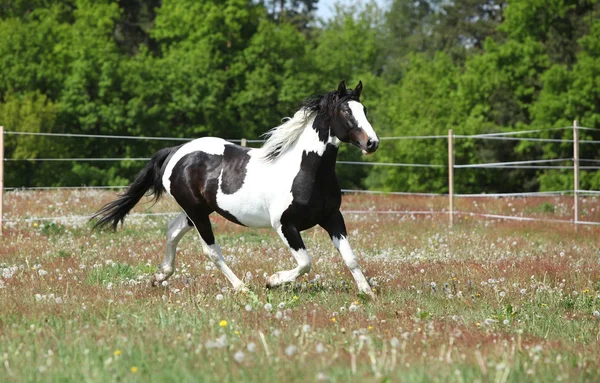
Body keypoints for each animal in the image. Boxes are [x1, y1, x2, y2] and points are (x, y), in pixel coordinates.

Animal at [89, 79, 380, 298]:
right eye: (346, 112)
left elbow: (350, 258)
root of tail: (176, 151)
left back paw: (160, 276)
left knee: (172, 231)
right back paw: (241, 287)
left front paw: (367, 292)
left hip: (196, 211)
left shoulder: (332, 218)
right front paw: (271, 281)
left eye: (364, 109)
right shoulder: (285, 225)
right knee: (210, 250)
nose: (372, 143)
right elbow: (305, 262)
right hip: (197, 212)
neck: (305, 170)